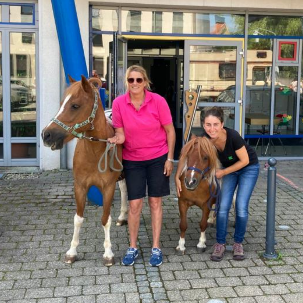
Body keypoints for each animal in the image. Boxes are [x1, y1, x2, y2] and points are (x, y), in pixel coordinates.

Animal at [41, 76, 123, 266]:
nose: (46, 135)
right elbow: (78, 219)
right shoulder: (79, 186)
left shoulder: (108, 188)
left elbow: (105, 219)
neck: (94, 153)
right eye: (61, 103)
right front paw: (72, 251)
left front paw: (108, 253)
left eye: (75, 105)